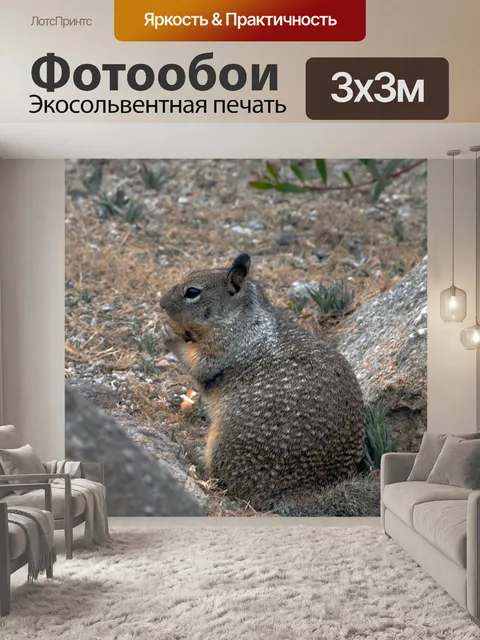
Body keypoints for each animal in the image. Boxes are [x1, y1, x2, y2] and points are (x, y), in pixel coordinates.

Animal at [159, 253, 365, 511]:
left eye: (192, 292)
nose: (161, 303)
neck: (241, 319)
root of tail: (299, 495)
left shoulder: (222, 351)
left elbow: (196, 363)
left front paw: (169, 333)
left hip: (224, 444)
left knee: (222, 480)